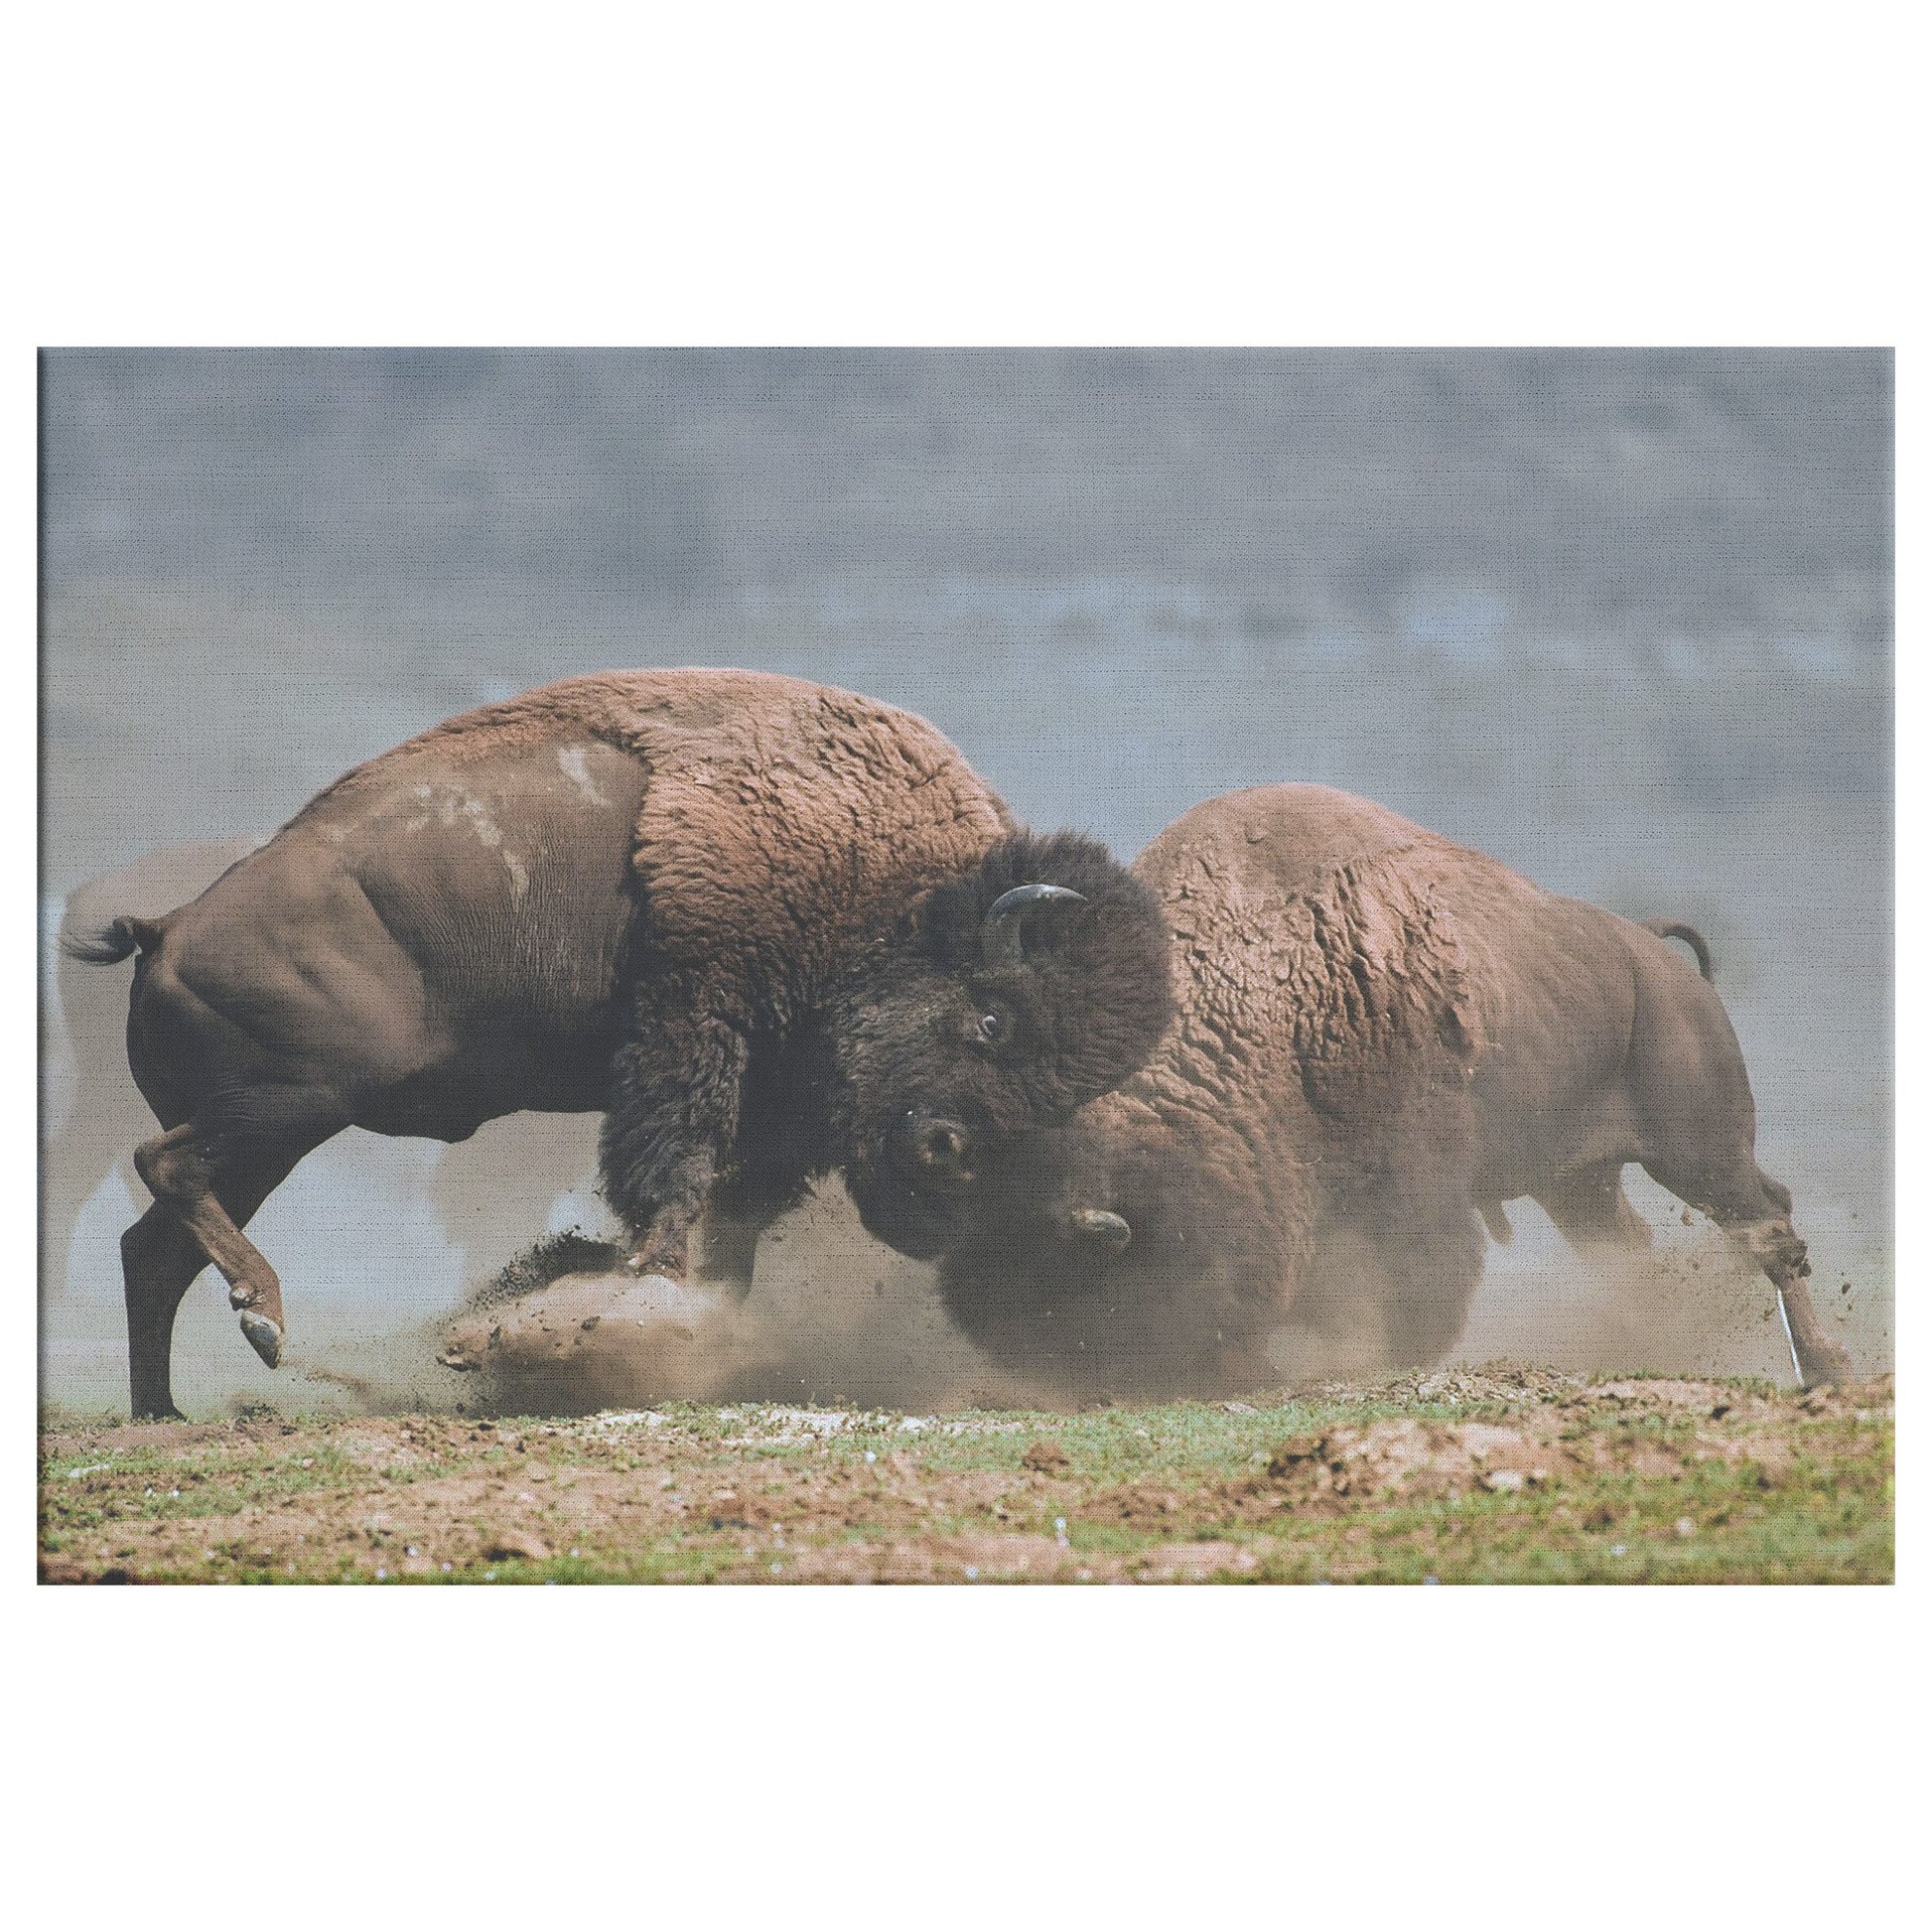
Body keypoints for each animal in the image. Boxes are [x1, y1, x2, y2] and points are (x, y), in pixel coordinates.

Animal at [68, 668, 1167, 1422]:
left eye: (1068, 1090)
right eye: (991, 1019)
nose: (948, 1151)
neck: (888, 893)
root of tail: (170, 927)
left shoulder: (773, 1114)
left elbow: (734, 1223)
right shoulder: (692, 1030)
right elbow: (676, 1173)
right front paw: (643, 1294)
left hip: (270, 1135)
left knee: (151, 1247)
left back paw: (164, 1410)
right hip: (294, 1104)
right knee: (163, 1168)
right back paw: (261, 1318)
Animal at [934, 776, 1855, 1398]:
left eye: (1091, 1279)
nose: (1075, 1381)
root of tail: (1653, 955)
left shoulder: (1414, 1191)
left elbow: (1416, 1284)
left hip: (1696, 1147)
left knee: (1767, 1223)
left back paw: (1827, 1369)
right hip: (1577, 1182)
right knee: (1633, 1249)